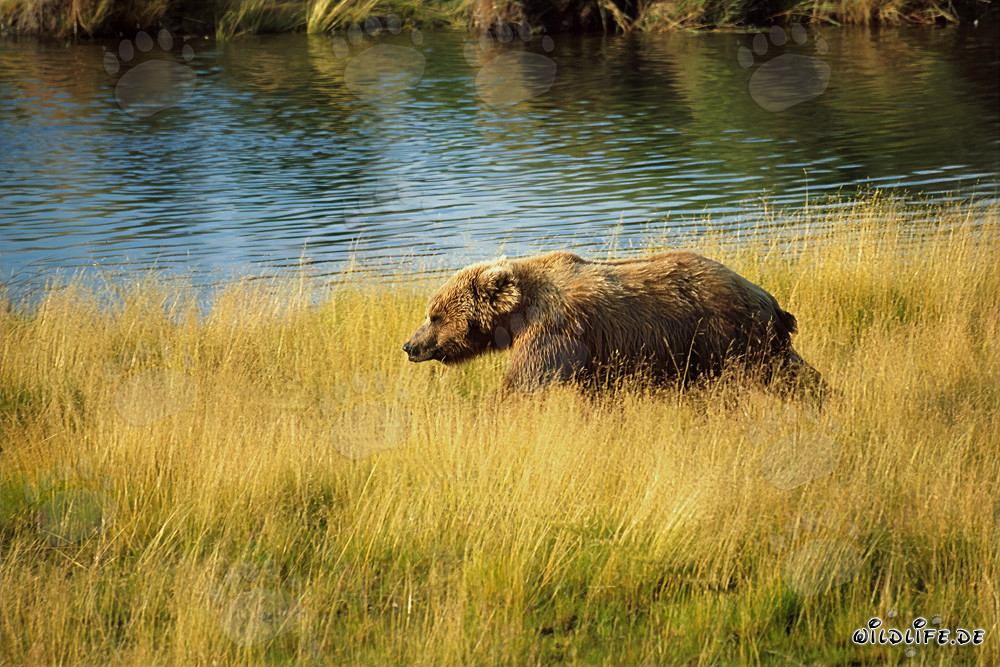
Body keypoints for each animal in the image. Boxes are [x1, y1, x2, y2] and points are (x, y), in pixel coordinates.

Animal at [402, 250, 824, 395]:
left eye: (435, 315)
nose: (409, 345)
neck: (517, 315)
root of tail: (767, 297)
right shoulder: (598, 358)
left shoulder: (556, 333)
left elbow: (526, 381)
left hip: (728, 335)